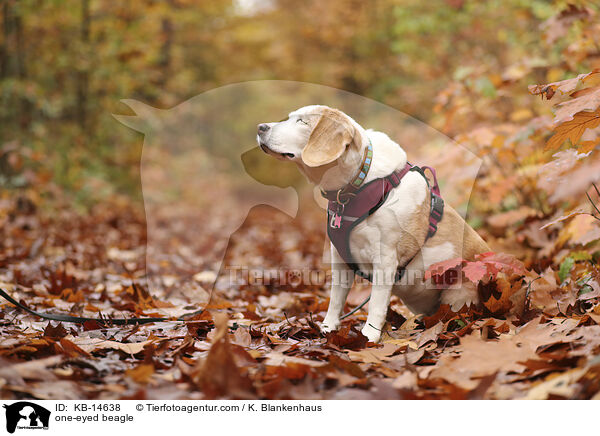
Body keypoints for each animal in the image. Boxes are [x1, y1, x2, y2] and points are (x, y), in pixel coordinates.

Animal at [255, 104, 490, 342]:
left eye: (302, 122)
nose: (261, 127)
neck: (359, 184)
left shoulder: (385, 258)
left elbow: (376, 302)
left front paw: (369, 336)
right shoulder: (339, 259)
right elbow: (336, 300)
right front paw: (328, 328)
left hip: (459, 293)